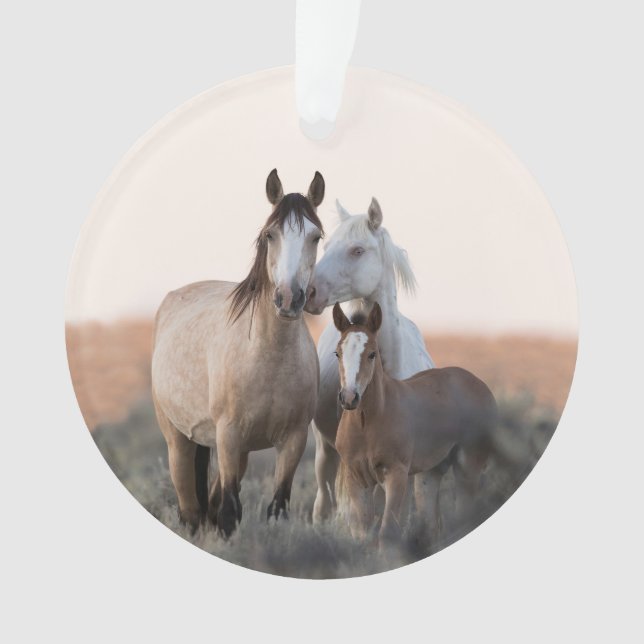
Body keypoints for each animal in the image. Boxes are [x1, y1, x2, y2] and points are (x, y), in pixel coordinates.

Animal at [151, 169, 325, 537]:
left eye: (316, 237)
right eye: (270, 234)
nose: (289, 299)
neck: (270, 358)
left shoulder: (292, 441)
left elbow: (275, 509)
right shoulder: (228, 436)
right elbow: (230, 512)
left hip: (240, 450)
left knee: (209, 505)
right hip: (179, 441)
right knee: (191, 511)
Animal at [331, 303, 498, 547]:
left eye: (372, 354)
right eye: (338, 353)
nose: (349, 397)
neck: (367, 424)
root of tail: (480, 384)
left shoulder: (396, 474)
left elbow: (387, 532)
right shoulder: (357, 478)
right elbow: (364, 534)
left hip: (468, 467)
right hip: (430, 473)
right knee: (430, 524)